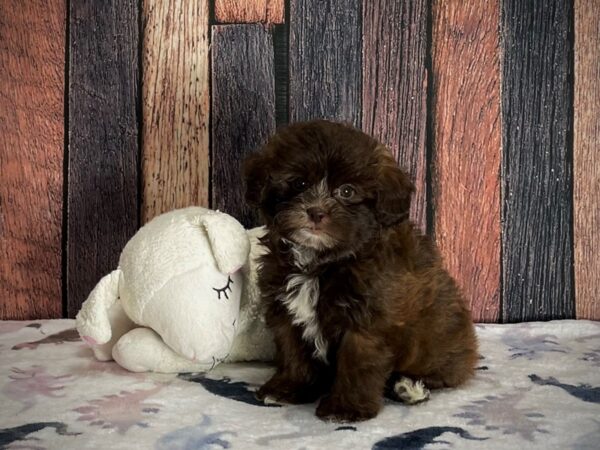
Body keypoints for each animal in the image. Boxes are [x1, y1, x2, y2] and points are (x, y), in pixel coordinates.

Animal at [241, 119, 476, 422]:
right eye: (299, 183)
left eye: (347, 191)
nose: (316, 212)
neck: (322, 261)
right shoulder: (286, 312)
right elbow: (293, 352)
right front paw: (288, 387)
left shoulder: (367, 322)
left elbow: (357, 363)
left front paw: (345, 408)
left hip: (439, 346)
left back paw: (410, 388)